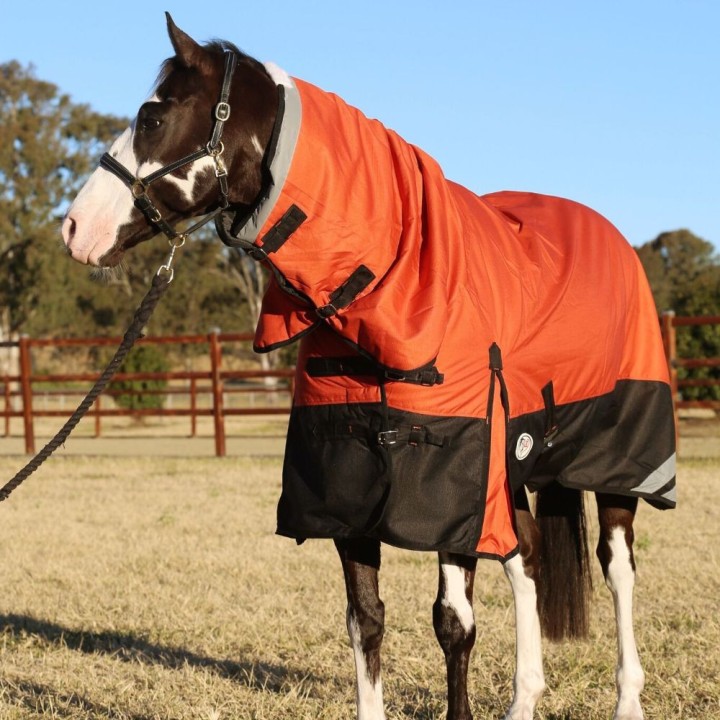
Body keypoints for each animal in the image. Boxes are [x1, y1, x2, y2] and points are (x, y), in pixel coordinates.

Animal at [61, 14, 676, 720]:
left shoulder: (451, 495)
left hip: (618, 467)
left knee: (617, 567)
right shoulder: (347, 497)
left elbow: (453, 624)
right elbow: (367, 620)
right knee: (526, 563)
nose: (74, 228)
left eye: (152, 117)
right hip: (511, 470)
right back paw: (525, 698)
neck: (393, 292)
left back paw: (627, 697)